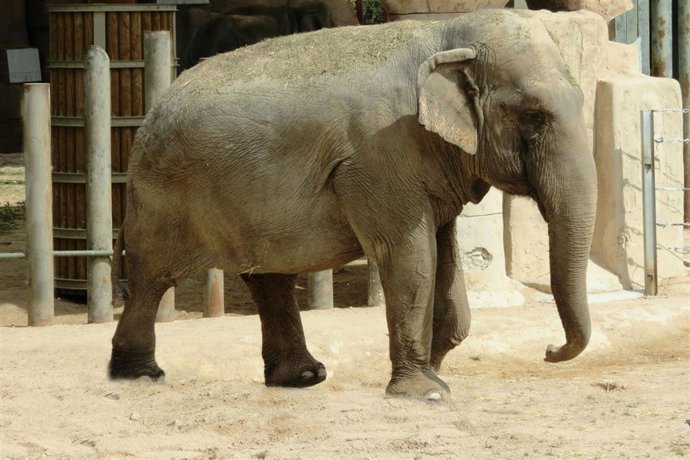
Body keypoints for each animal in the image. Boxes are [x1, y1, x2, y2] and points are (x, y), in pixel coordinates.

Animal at [109, 9, 597, 400]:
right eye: (532, 116)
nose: (549, 350)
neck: (442, 34)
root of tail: (152, 110)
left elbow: (445, 260)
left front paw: (436, 372)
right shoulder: (382, 154)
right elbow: (410, 257)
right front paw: (426, 393)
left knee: (269, 278)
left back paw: (302, 378)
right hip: (161, 195)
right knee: (151, 277)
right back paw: (139, 377)